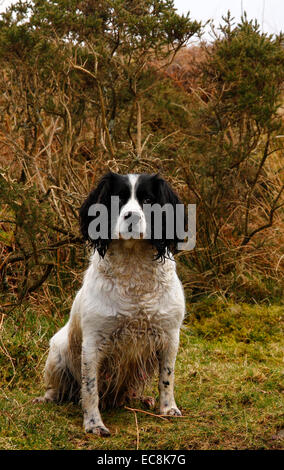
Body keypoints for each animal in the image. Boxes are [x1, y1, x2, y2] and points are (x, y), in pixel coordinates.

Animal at [35, 173, 186, 436]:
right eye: (118, 200)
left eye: (148, 199)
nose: (132, 216)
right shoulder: (93, 342)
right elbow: (90, 389)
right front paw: (94, 424)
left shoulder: (169, 335)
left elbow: (166, 378)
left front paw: (168, 409)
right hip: (57, 351)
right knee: (58, 389)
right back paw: (48, 398)